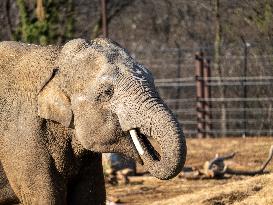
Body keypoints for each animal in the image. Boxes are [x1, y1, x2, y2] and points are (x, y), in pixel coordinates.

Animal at [0, 38, 186, 203]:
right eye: (107, 93)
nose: (153, 154)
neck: (57, 57)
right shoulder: (22, 141)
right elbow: (45, 199)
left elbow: (90, 196)